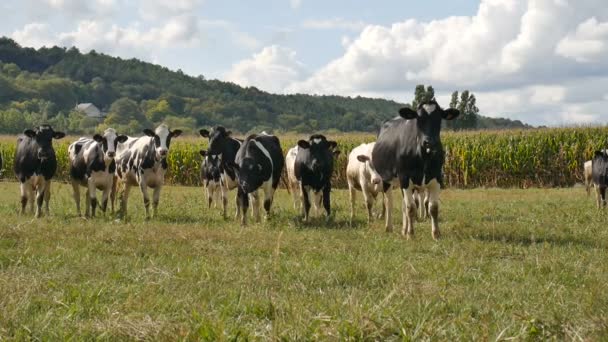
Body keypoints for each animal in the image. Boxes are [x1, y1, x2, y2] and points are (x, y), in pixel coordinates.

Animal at [370, 98, 460, 238]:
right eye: (419, 119)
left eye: (439, 119)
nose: (429, 142)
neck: (423, 155)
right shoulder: (405, 178)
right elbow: (411, 208)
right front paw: (411, 234)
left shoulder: (437, 178)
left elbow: (433, 207)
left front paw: (436, 234)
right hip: (387, 179)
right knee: (389, 202)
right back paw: (389, 227)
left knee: (404, 204)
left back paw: (403, 229)